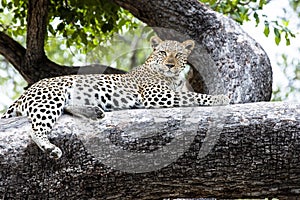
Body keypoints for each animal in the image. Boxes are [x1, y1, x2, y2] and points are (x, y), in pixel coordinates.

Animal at [1, 36, 230, 159]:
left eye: (179, 55)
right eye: (163, 53)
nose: (170, 65)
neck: (172, 78)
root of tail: (26, 91)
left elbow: (189, 94)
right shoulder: (156, 95)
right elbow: (194, 96)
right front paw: (221, 98)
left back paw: (95, 111)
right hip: (51, 99)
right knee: (35, 129)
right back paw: (50, 148)